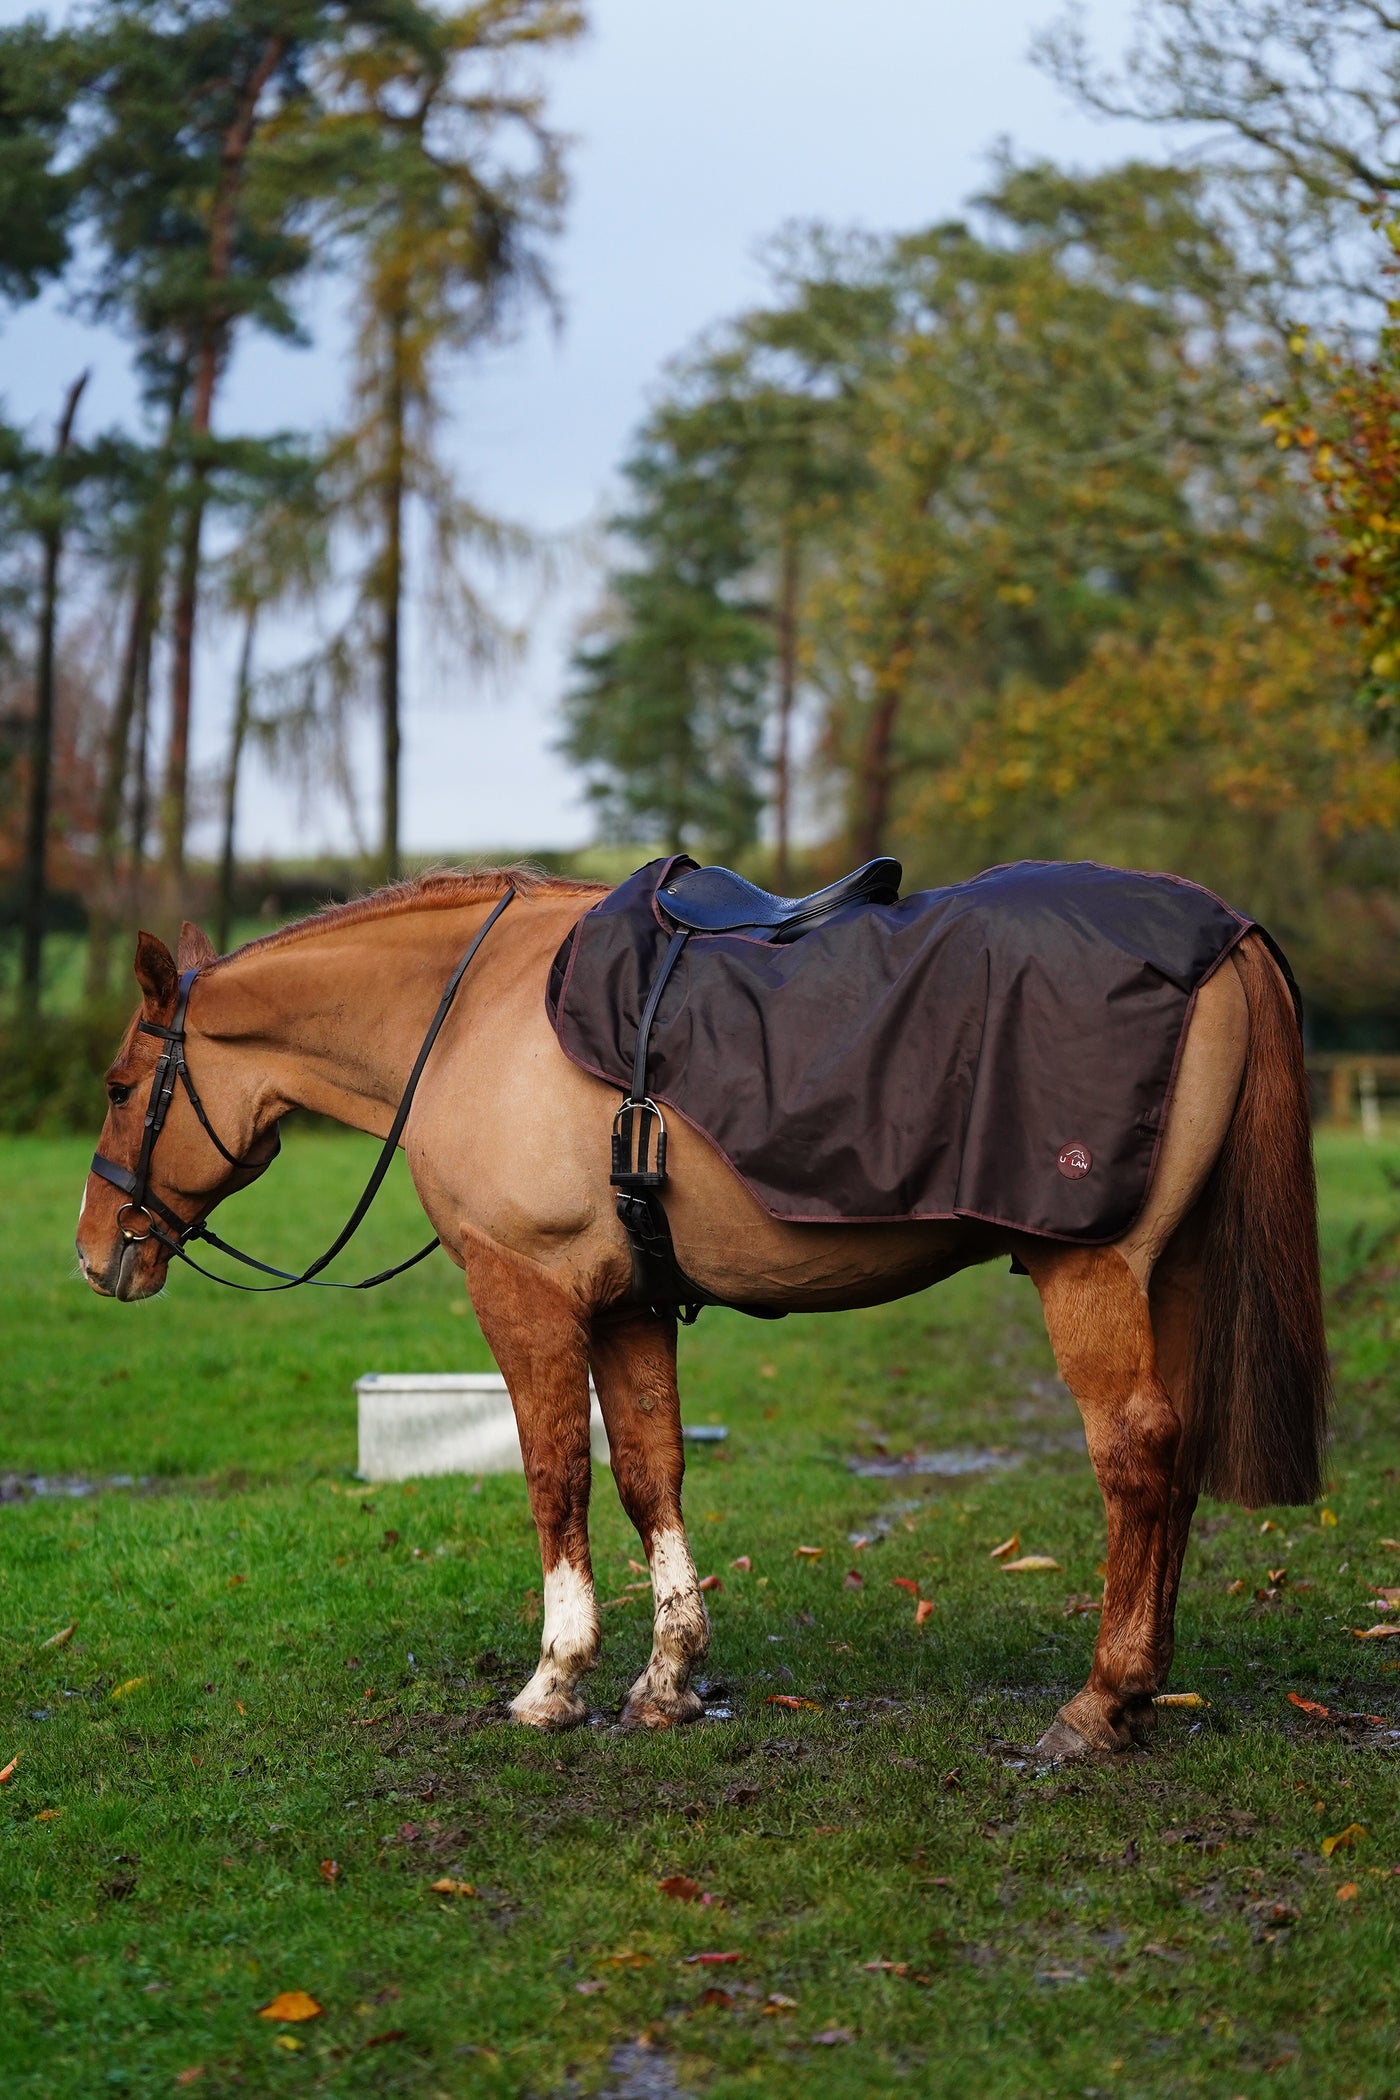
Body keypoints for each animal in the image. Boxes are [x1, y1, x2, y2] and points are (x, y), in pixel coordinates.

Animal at [74, 866, 1329, 1761]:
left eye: (123, 1088)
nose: (96, 1255)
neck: (472, 1011)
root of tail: (1221, 933)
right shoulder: (629, 1304)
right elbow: (647, 1474)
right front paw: (667, 1679)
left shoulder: (523, 1293)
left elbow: (554, 1478)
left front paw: (553, 1681)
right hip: (1167, 1273)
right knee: (1173, 1457)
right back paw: (1142, 1689)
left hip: (1092, 1271)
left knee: (1134, 1452)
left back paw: (1098, 1701)